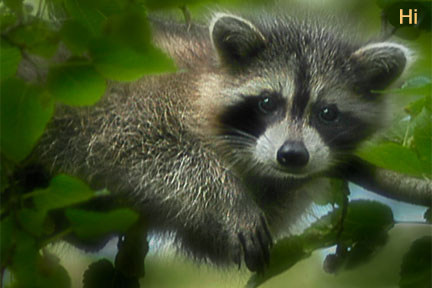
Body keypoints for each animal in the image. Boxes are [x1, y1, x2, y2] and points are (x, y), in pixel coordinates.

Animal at [29, 11, 408, 272]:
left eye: (327, 113)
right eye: (267, 102)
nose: (292, 155)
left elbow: (210, 241)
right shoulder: (137, 102)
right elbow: (149, 148)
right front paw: (228, 198)